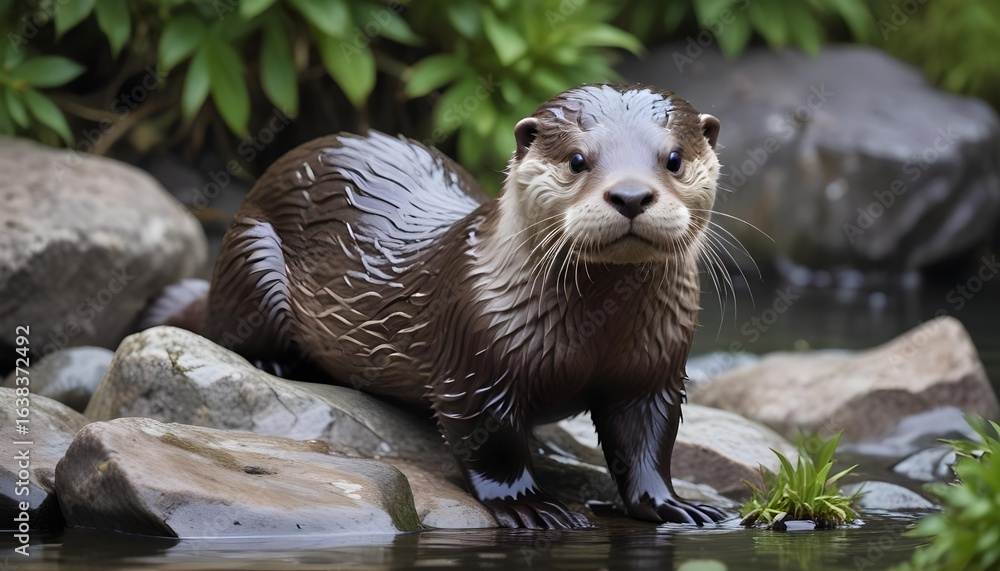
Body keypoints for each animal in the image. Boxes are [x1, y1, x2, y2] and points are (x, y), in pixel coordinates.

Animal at [146, 84, 724, 529]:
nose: (630, 195)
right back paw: (274, 362)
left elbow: (648, 441)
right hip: (252, 252)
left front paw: (673, 505)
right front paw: (529, 504)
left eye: (673, 158)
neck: (596, 337)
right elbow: (489, 443)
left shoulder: (655, 368)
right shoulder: (474, 355)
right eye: (578, 160)